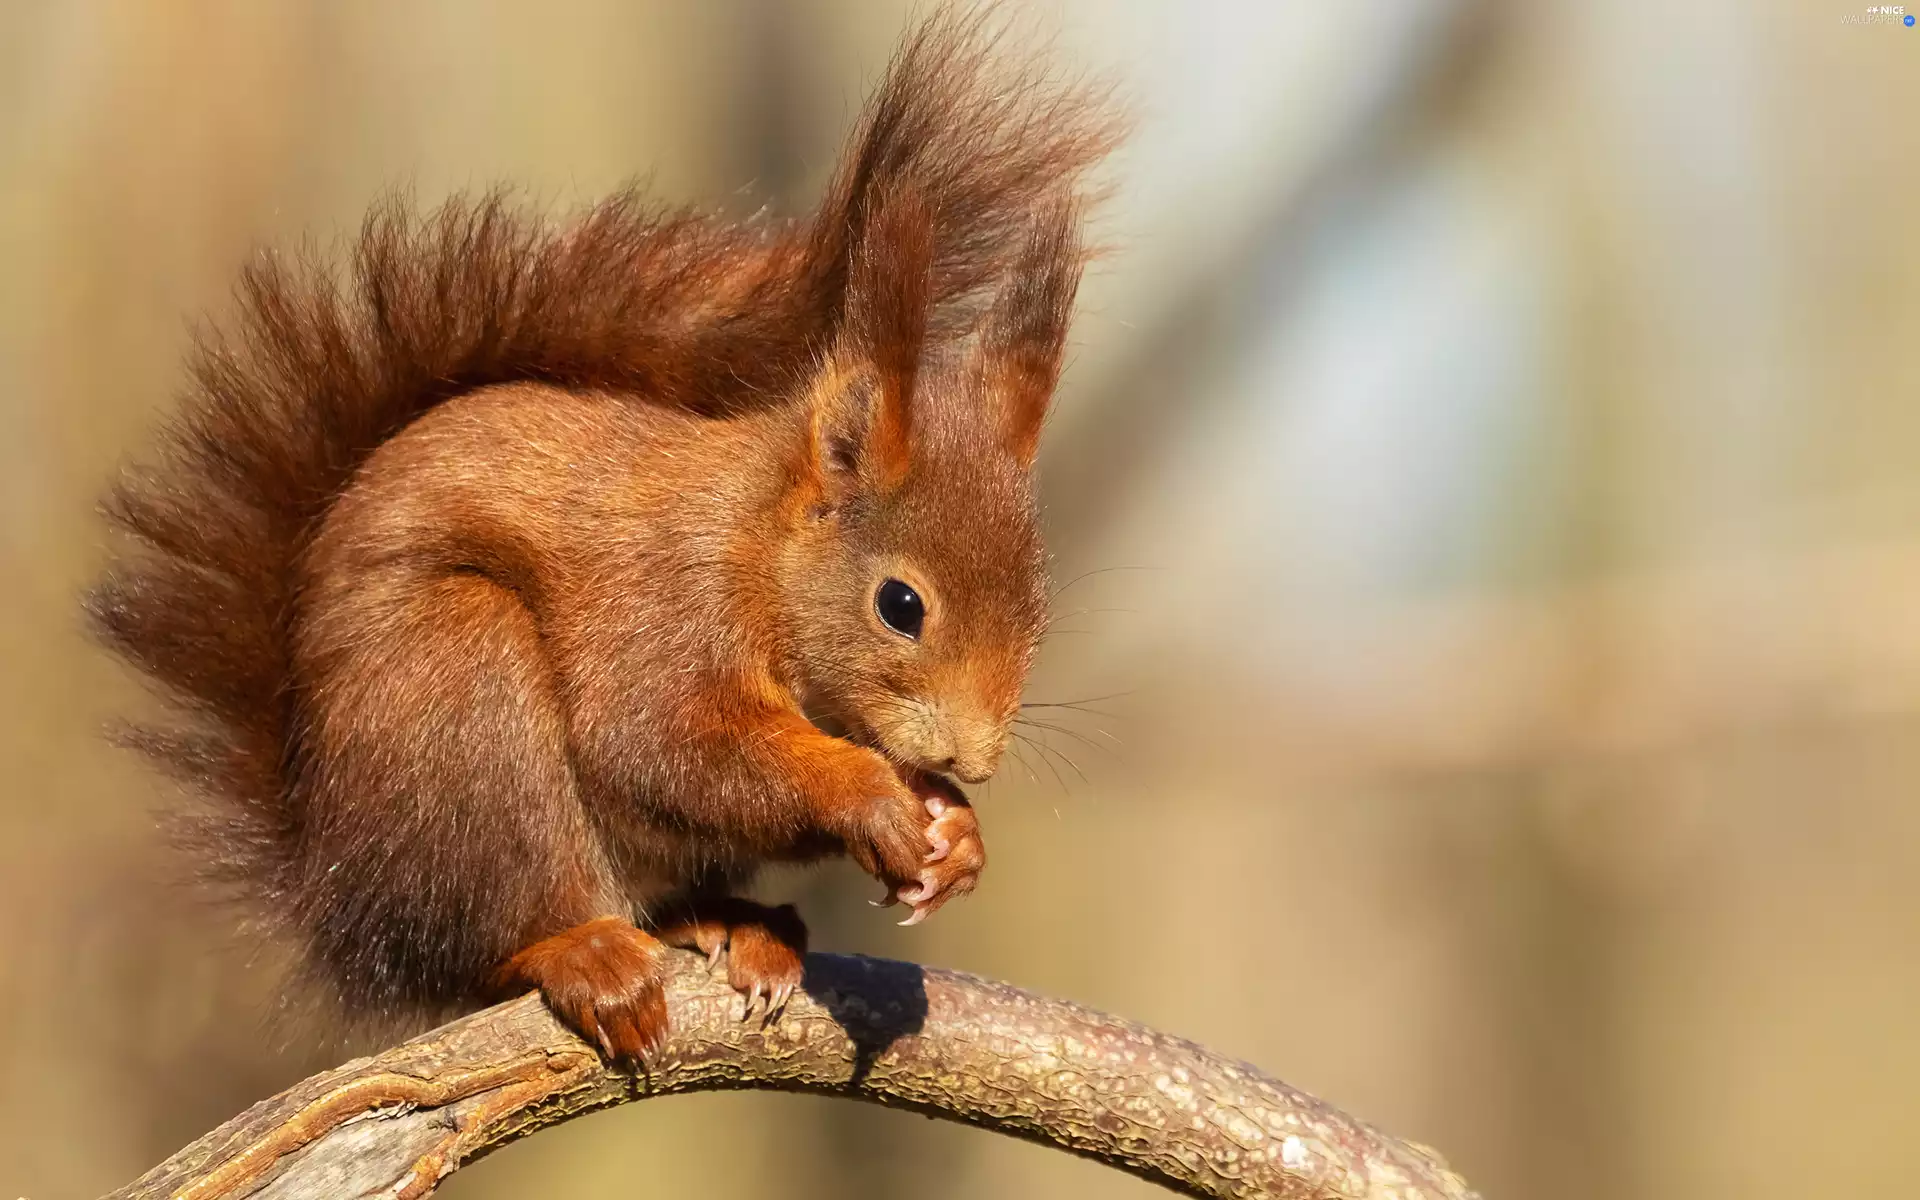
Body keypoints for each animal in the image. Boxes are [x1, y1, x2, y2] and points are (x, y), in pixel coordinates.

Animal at [86, 10, 1119, 1063]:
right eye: (900, 605)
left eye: (1039, 610)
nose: (973, 760)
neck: (758, 549)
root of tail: (340, 896)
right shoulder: (666, 605)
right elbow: (662, 744)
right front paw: (871, 796)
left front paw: (960, 835)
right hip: (458, 694)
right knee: (496, 936)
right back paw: (582, 952)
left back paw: (739, 924)